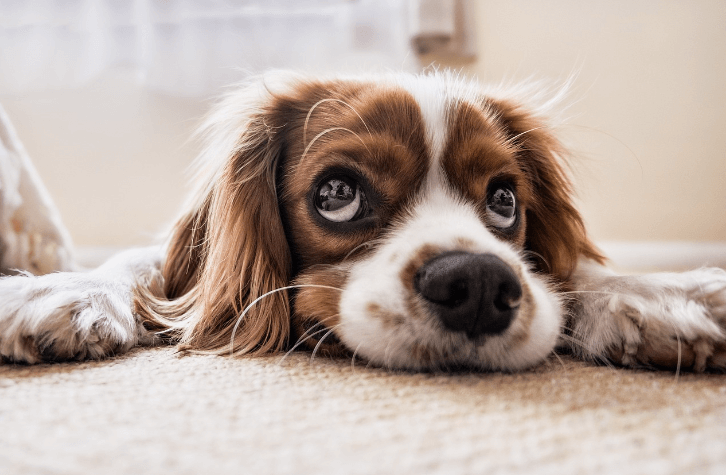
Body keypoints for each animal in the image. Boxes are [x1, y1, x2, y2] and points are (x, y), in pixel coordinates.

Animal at [1, 73, 726, 372]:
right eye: (337, 193)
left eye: (503, 201)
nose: (478, 284)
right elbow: (140, 266)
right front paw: (61, 290)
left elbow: (578, 271)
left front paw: (659, 295)